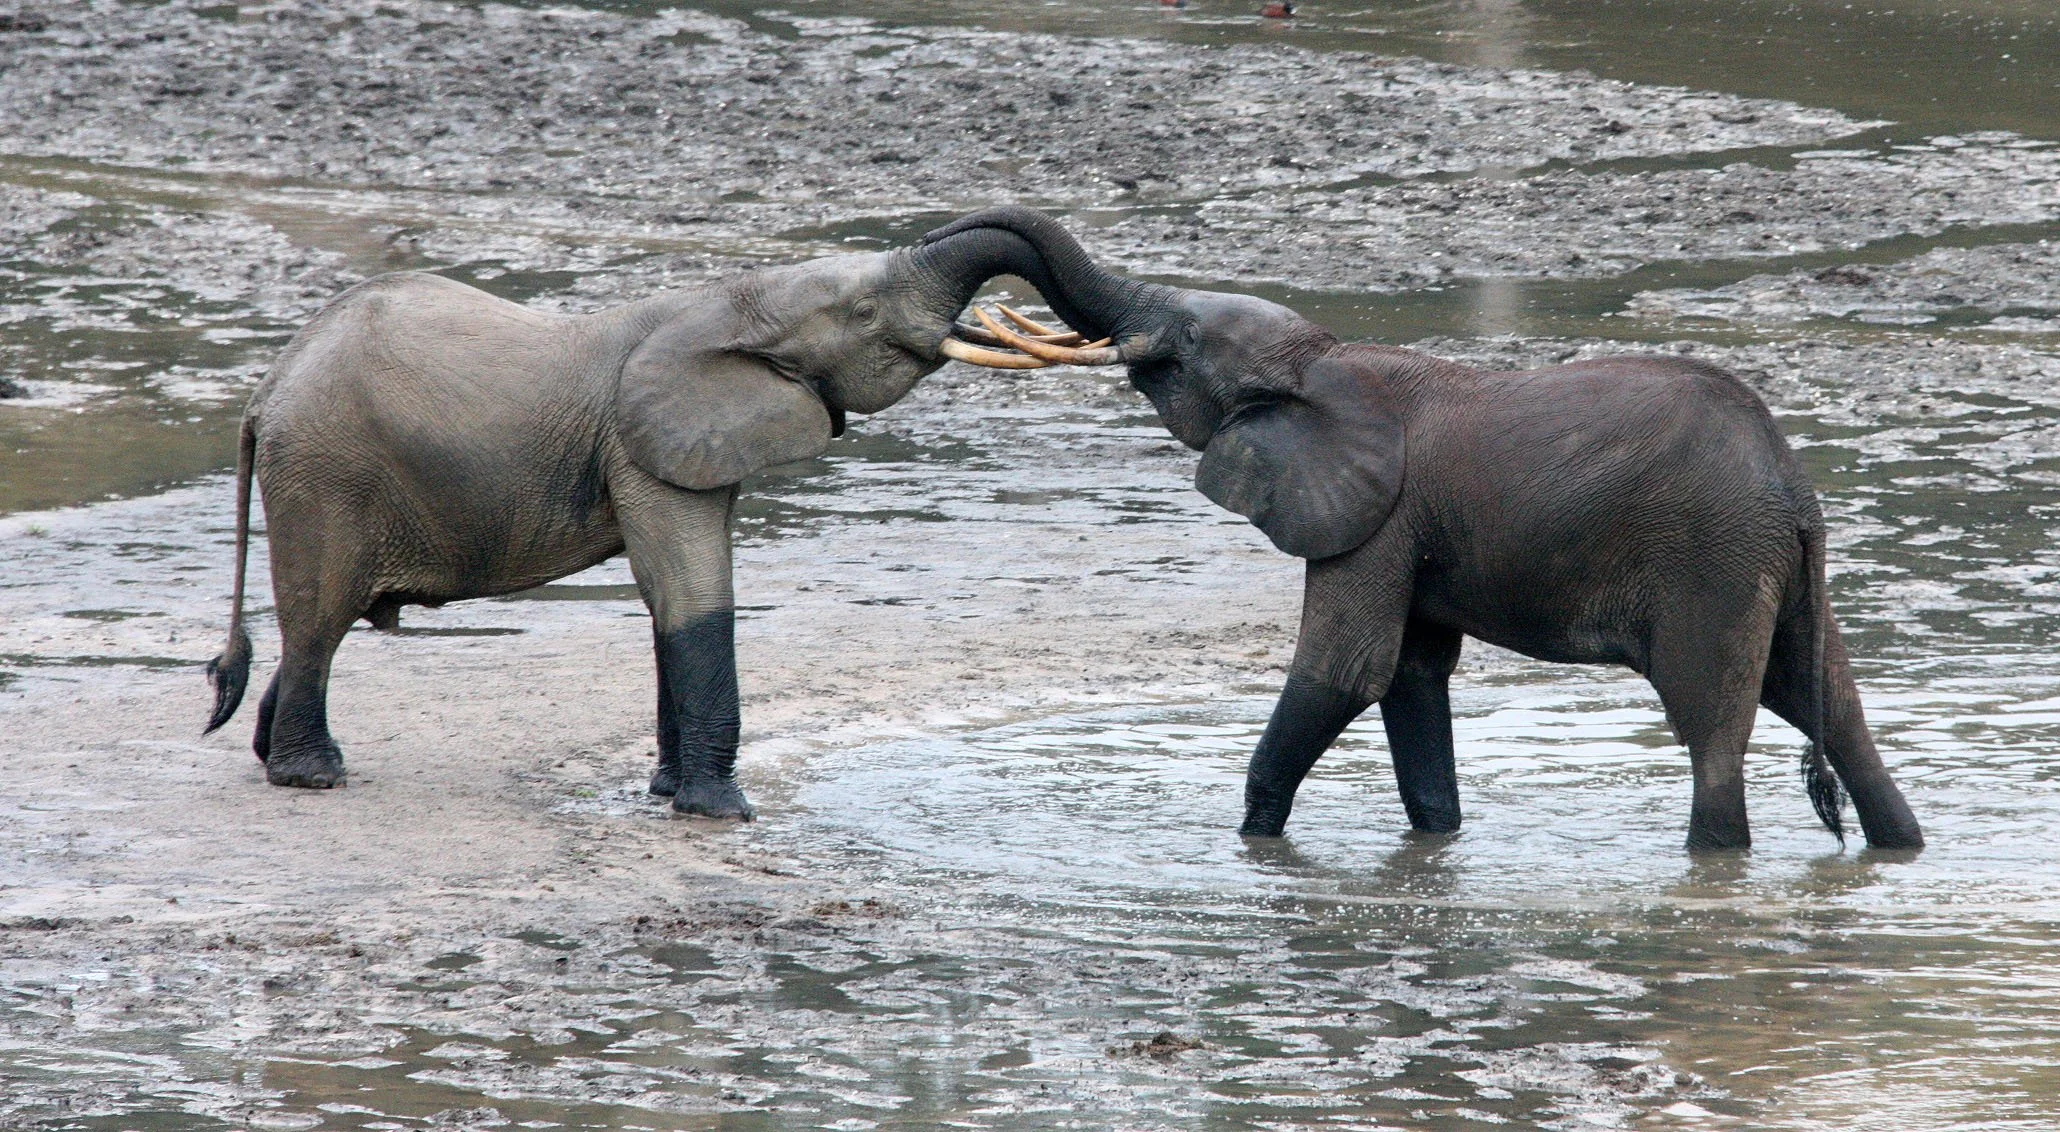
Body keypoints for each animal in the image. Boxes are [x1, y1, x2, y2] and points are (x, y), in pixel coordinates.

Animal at [202, 225, 1060, 818]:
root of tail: (267, 388)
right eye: (865, 310)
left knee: (318, 621)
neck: (724, 300)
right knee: (320, 616)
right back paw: (312, 776)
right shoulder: (640, 447)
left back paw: (275, 753)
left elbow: (668, 597)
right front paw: (721, 813)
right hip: (324, 474)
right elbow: (691, 589)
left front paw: (666, 792)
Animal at [922, 206, 1924, 852]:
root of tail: (1793, 488)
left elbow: (1345, 668)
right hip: (1770, 567)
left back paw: (1715, 862)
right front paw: (1435, 846)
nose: (928, 245)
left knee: (1713, 729)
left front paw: (1254, 847)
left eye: (1187, 341)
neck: (1321, 361)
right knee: (1833, 706)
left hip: (1711, 560)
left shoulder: (1374, 518)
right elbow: (1410, 675)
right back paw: (1900, 847)